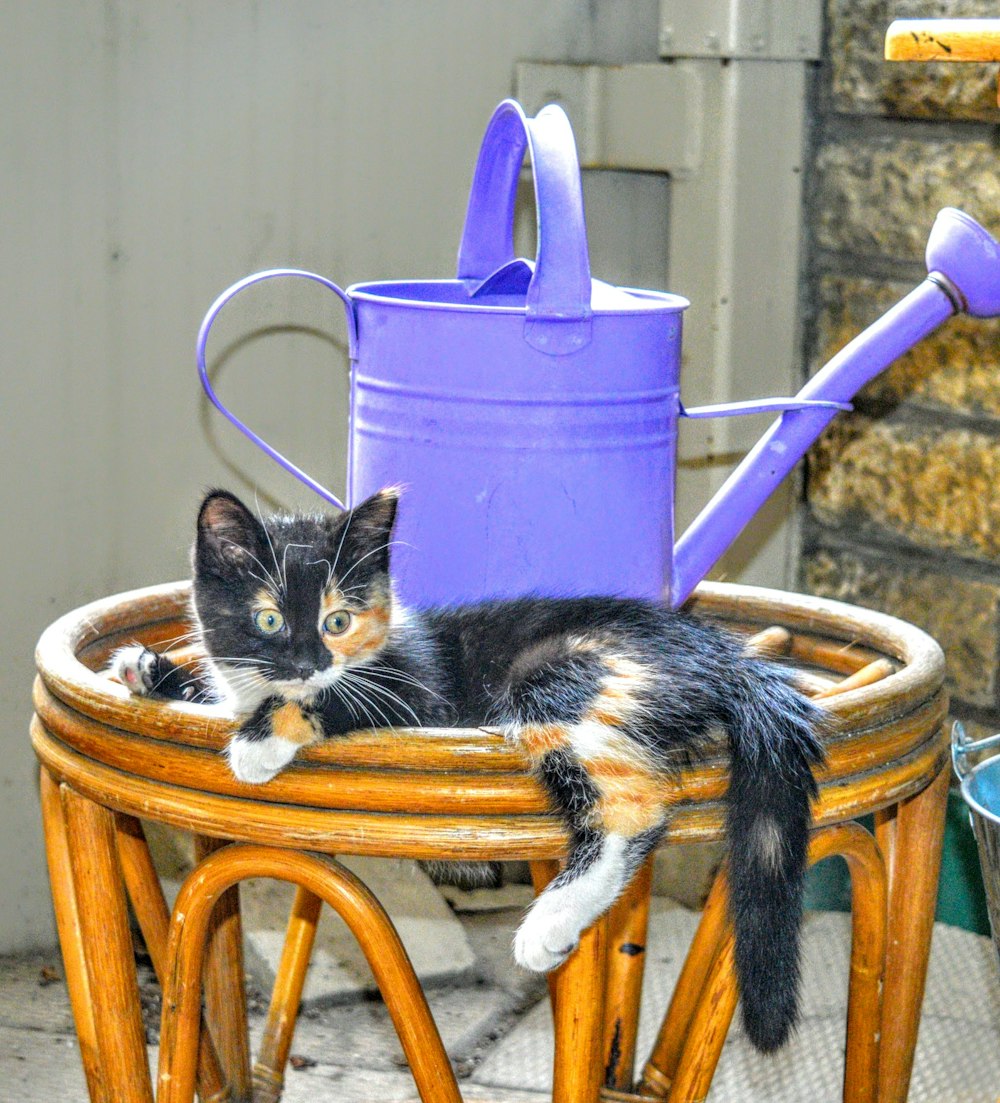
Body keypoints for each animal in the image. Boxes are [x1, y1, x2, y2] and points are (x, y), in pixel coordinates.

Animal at [113, 485, 824, 1050]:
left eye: (338, 621)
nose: (309, 663)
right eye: (267, 619)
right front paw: (151, 669)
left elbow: (335, 699)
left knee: (632, 810)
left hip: (559, 670)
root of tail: (722, 653)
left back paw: (550, 922)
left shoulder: (416, 692)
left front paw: (258, 739)